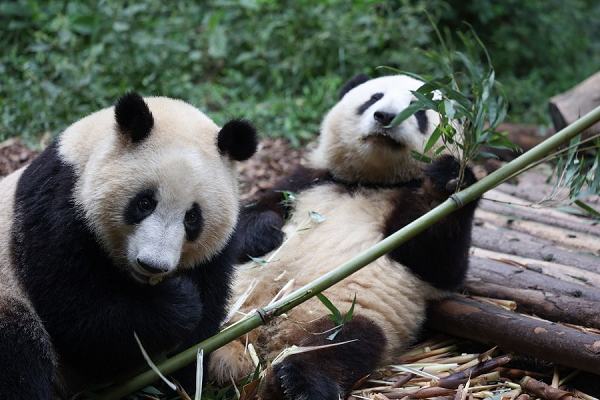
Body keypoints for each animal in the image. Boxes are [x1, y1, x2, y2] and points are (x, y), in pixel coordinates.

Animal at [0, 92, 255, 398]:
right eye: (144, 203)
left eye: (193, 217)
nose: (152, 265)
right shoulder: (57, 211)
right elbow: (80, 317)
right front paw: (178, 301)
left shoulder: (215, 255)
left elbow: (199, 331)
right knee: (16, 351)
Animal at [209, 73, 480, 398]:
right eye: (374, 98)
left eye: (419, 111)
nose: (385, 117)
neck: (372, 182)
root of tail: (260, 338)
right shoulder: (306, 180)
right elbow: (242, 217)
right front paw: (264, 233)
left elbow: (442, 262)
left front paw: (449, 179)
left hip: (344, 312)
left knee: (344, 342)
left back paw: (298, 382)